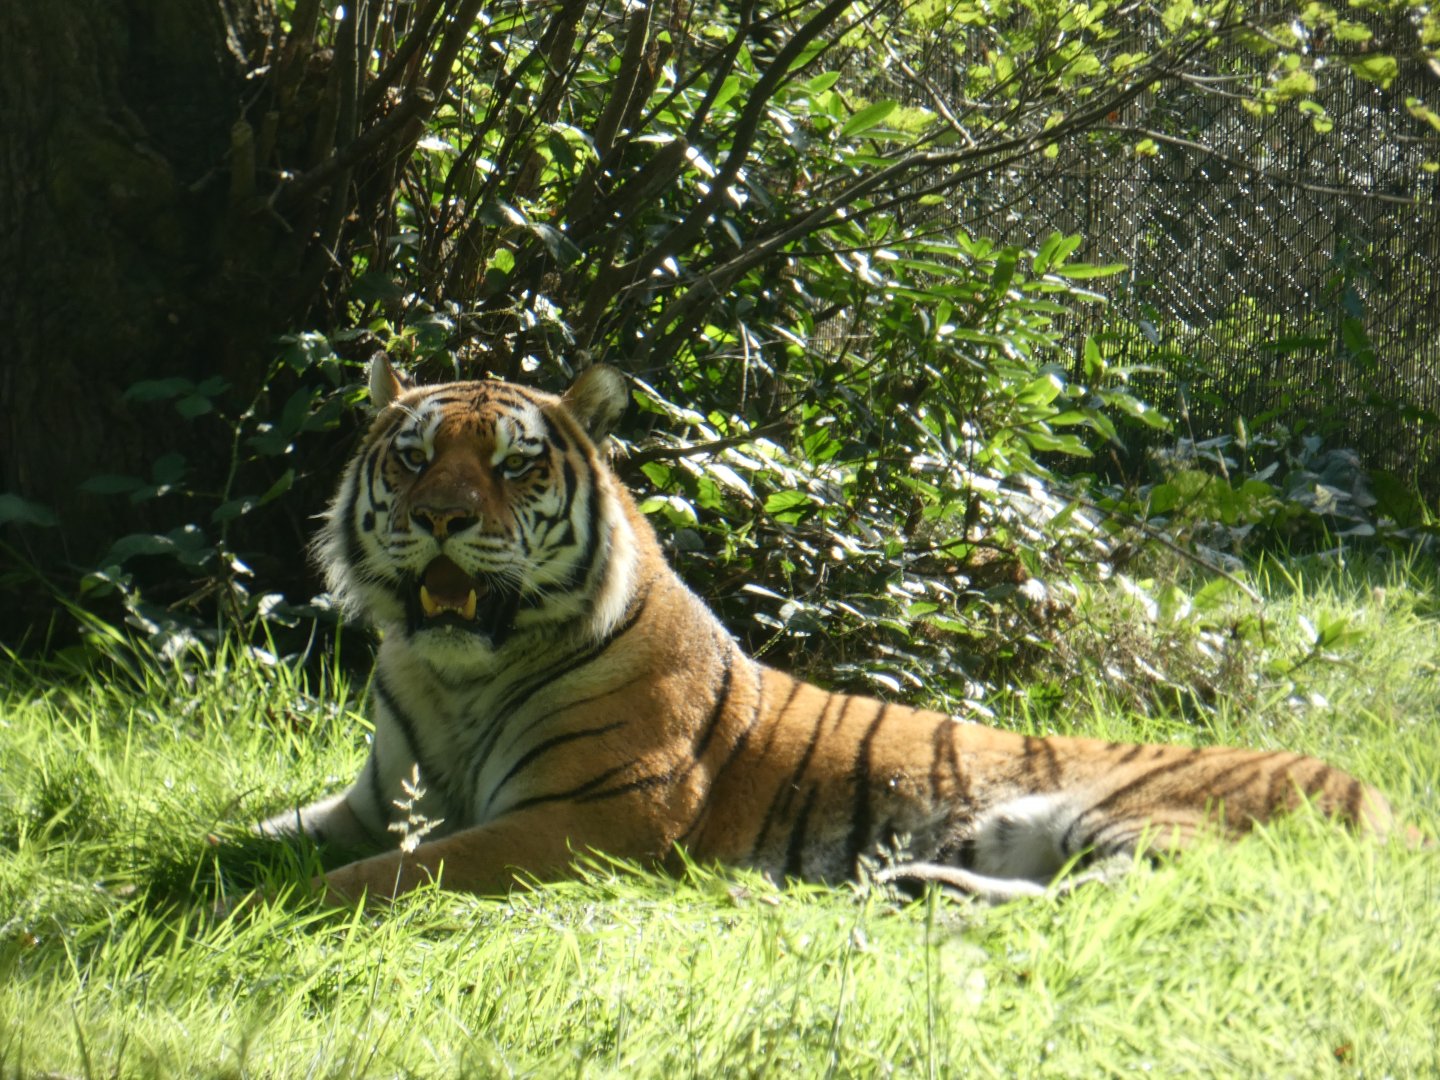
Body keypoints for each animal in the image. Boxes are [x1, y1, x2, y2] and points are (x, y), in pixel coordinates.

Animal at [255, 357, 1400, 906]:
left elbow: (380, 877)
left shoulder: (581, 821)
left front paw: (256, 915)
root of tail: (1391, 808)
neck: (458, 678)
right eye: (412, 457)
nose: (441, 518)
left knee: (1120, 905)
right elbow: (254, 837)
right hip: (1038, 833)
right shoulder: (368, 803)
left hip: (1146, 822)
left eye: (514, 465)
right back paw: (914, 886)